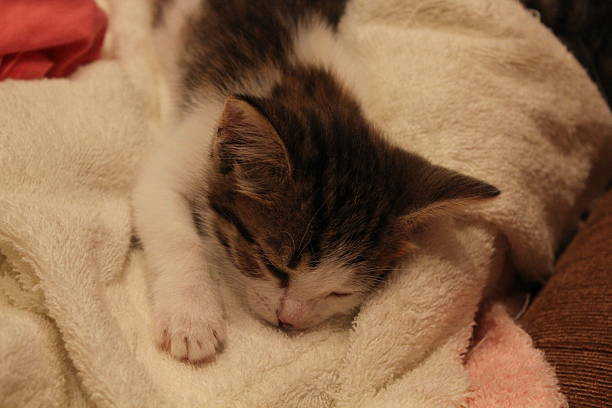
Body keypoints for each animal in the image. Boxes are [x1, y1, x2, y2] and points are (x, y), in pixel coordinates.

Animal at [133, 0, 498, 364]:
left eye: (340, 292)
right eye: (272, 266)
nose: (288, 321)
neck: (321, 96)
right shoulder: (193, 137)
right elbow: (174, 229)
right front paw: (190, 319)